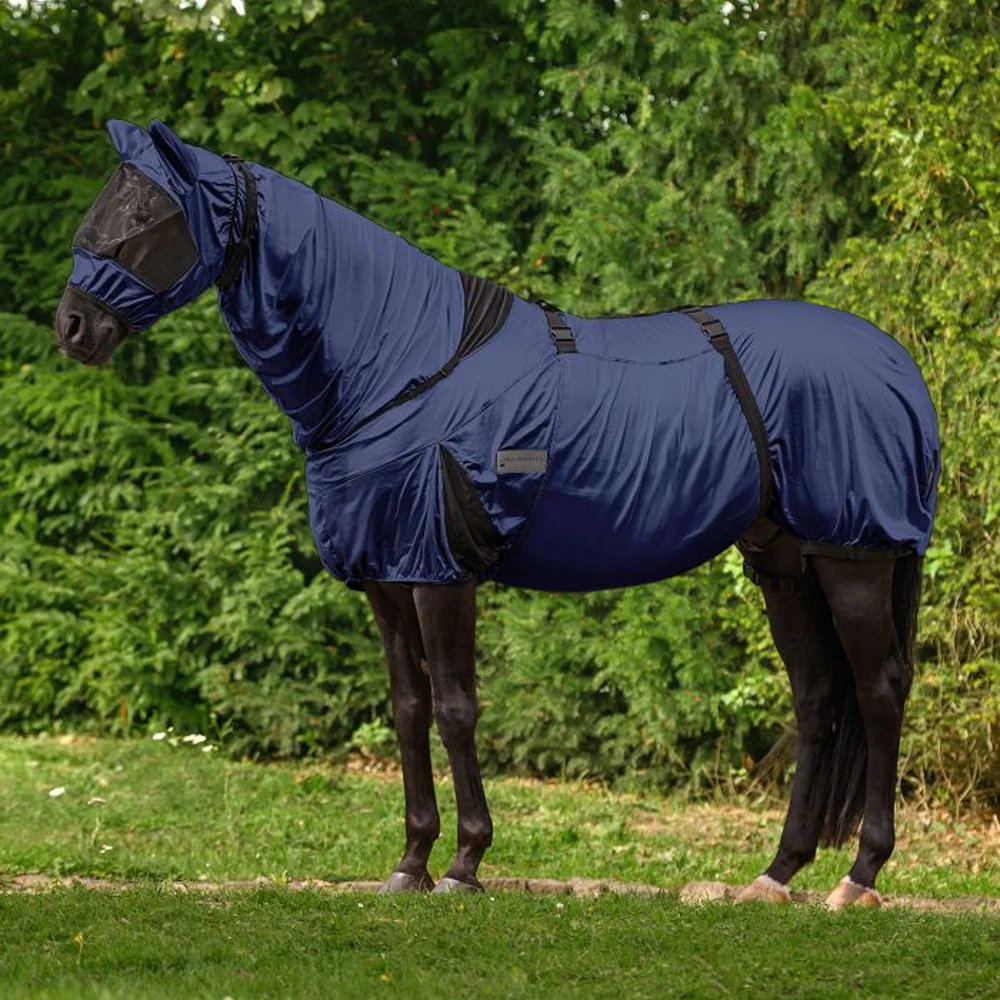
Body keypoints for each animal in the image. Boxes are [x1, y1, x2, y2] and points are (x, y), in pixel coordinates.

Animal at [55, 120, 939, 908]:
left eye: (150, 216)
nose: (72, 326)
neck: (402, 367)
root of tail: (897, 363)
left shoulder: (441, 572)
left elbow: (456, 709)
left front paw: (464, 862)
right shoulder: (388, 575)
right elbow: (409, 710)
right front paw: (410, 862)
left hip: (854, 555)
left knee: (879, 690)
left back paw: (859, 875)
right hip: (785, 563)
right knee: (818, 698)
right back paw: (777, 874)